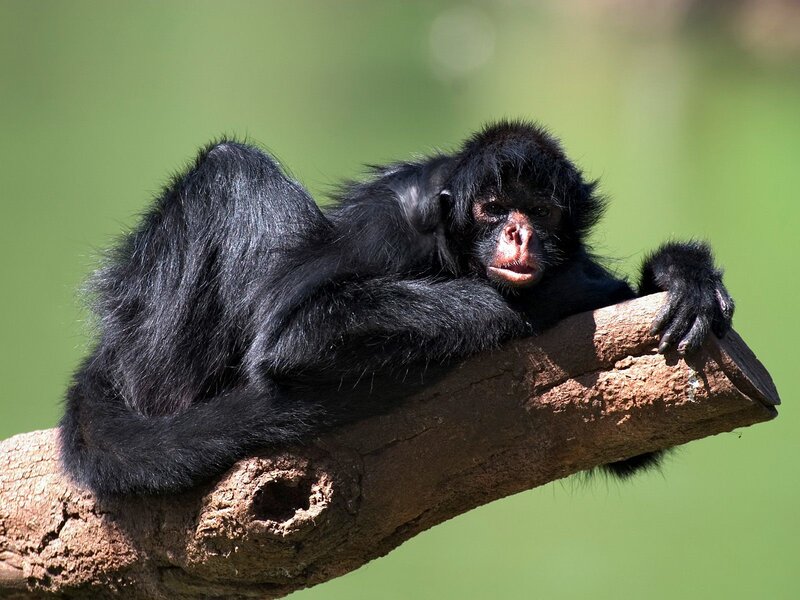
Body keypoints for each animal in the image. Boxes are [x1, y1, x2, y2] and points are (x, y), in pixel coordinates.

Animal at [58, 120, 734, 496]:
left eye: (539, 211)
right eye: (493, 208)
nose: (519, 233)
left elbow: (628, 446)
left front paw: (681, 273)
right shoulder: (392, 224)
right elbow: (294, 335)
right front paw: (559, 294)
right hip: (154, 358)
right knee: (231, 166)